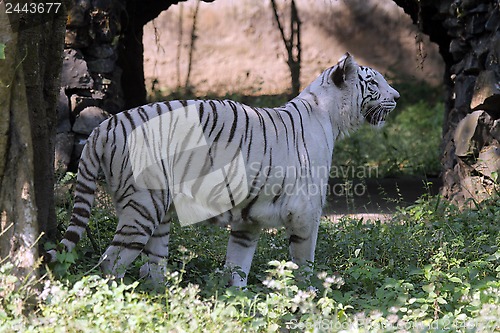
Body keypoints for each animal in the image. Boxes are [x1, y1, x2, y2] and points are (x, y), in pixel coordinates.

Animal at [46, 53, 398, 286]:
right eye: (374, 81)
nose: (396, 95)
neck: (328, 114)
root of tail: (103, 127)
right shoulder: (305, 213)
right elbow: (304, 263)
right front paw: (307, 297)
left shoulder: (248, 219)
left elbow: (237, 265)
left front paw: (240, 303)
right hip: (143, 206)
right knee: (111, 263)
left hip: (156, 212)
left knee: (151, 267)